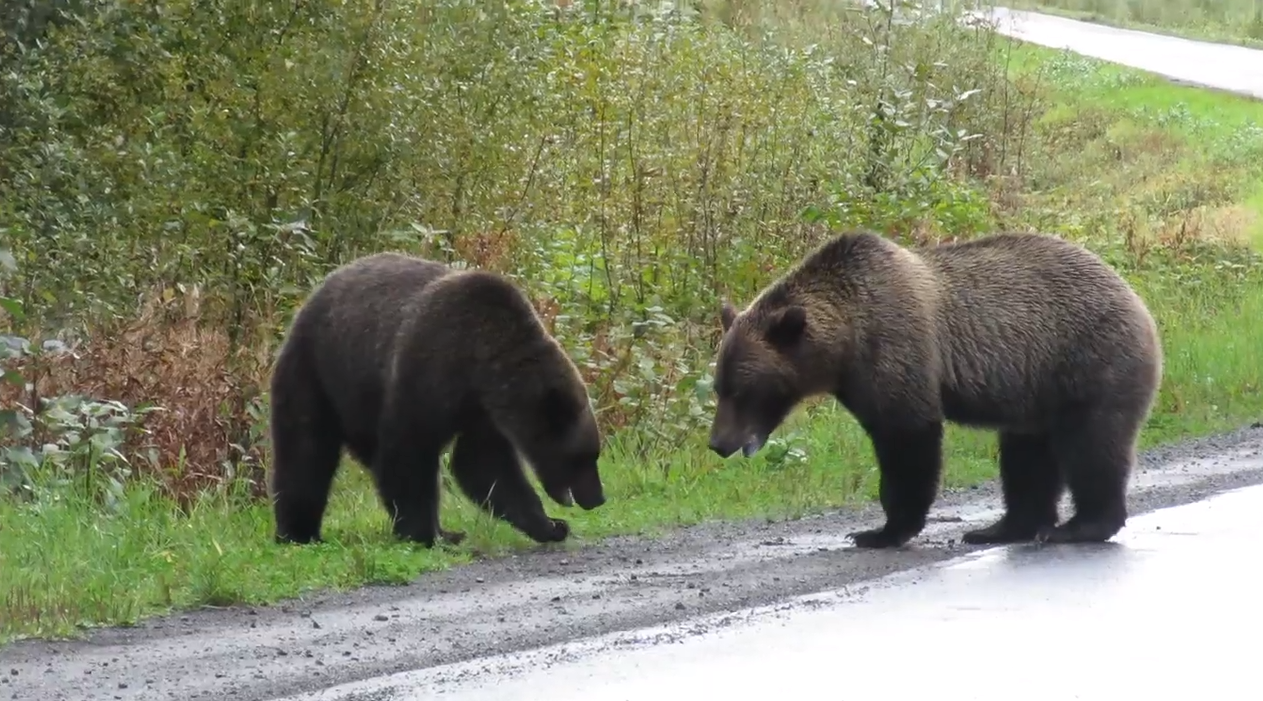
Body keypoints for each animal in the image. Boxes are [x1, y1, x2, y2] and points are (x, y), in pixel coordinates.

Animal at [266, 252, 606, 548]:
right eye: (583, 457)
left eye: (593, 454)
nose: (597, 498)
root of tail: (311, 297)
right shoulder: (430, 368)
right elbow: (409, 451)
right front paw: (428, 533)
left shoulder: (481, 411)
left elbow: (484, 465)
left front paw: (550, 525)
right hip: (316, 372)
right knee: (306, 451)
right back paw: (298, 532)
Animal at [707, 229, 1156, 548]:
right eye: (719, 387)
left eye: (743, 390)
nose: (718, 443)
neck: (846, 342)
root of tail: (1136, 298)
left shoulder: (897, 348)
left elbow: (908, 440)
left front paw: (881, 531)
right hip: (1036, 392)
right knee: (1026, 457)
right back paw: (1001, 528)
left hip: (1088, 363)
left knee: (1092, 446)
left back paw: (1080, 526)